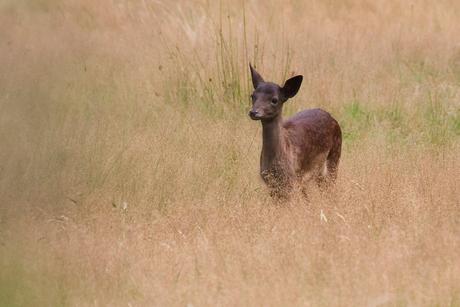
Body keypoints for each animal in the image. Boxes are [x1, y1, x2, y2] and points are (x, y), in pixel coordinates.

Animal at [248, 63, 342, 201]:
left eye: (274, 100)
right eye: (252, 96)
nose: (253, 112)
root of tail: (332, 117)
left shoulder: (296, 177)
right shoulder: (272, 183)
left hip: (334, 158)